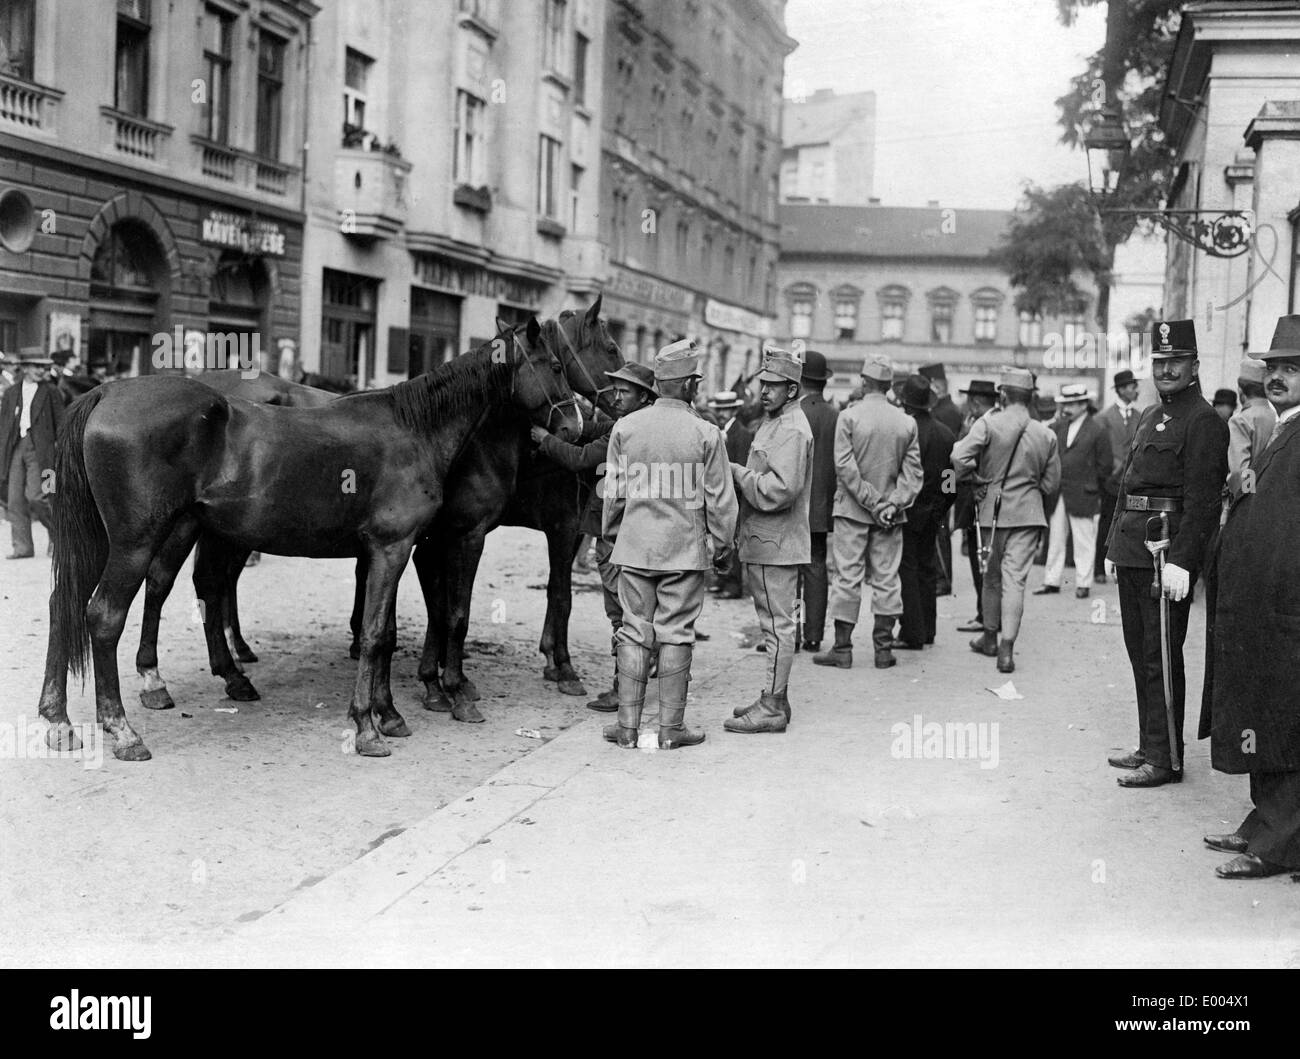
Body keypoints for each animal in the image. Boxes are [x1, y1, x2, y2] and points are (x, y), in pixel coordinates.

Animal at [39, 324, 579, 764]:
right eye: (556, 366)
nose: (576, 425)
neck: (414, 428)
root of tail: (107, 391)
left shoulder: (394, 551)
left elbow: (384, 632)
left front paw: (388, 714)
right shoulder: (397, 546)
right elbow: (380, 633)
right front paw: (369, 726)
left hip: (111, 541)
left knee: (67, 606)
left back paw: (58, 719)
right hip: (137, 542)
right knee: (105, 616)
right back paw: (123, 729)